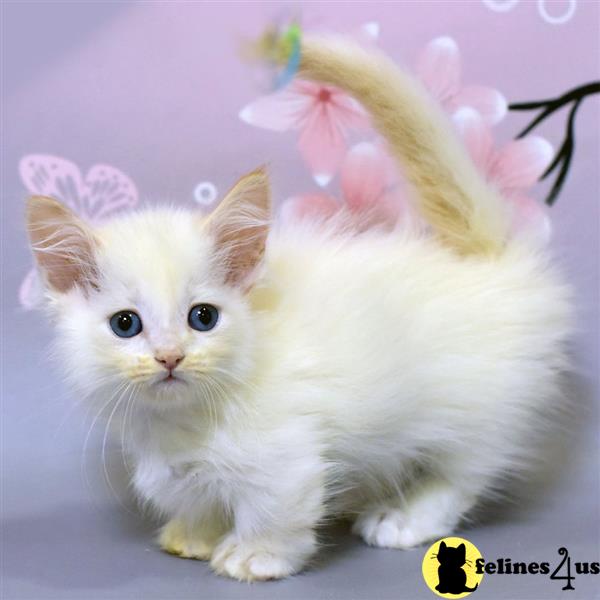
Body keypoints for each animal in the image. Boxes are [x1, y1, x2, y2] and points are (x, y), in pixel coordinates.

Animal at [27, 35, 572, 580]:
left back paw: (403, 518)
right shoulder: (175, 464)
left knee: (464, 472)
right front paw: (195, 535)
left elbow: (275, 507)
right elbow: (197, 496)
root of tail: (491, 261)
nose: (169, 356)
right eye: (126, 324)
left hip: (478, 408)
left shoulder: (287, 454)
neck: (183, 423)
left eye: (203, 318)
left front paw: (254, 556)